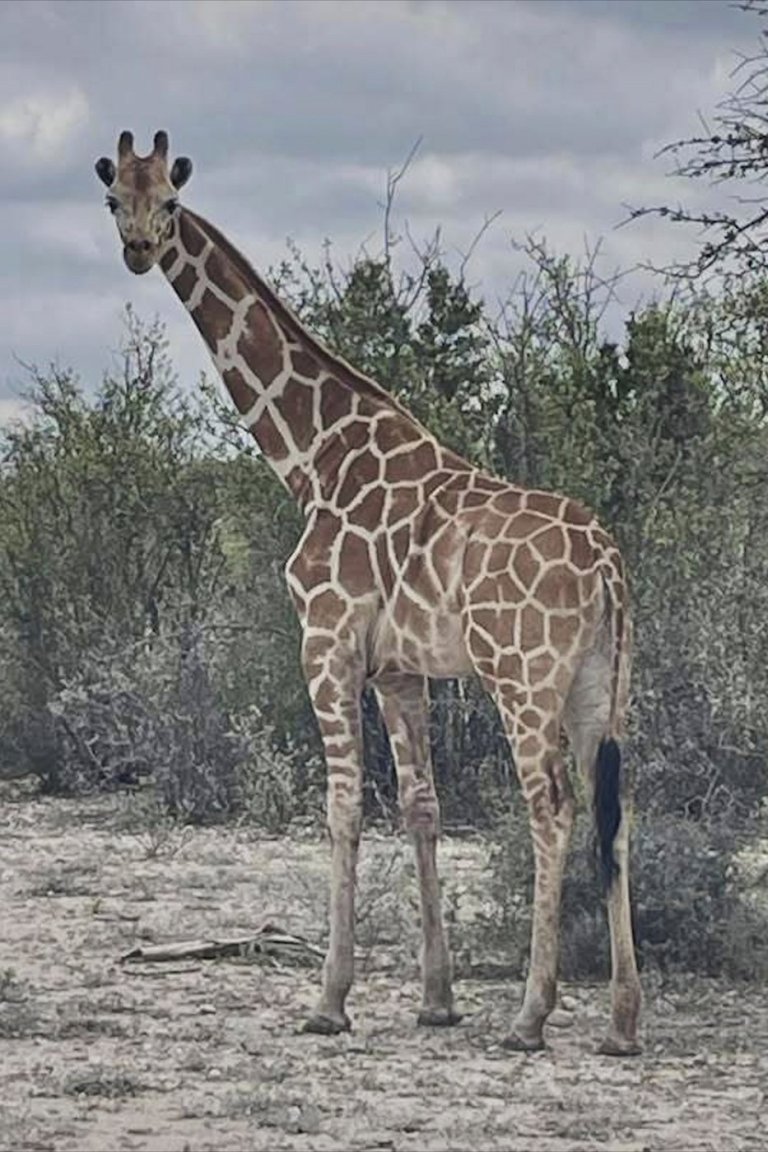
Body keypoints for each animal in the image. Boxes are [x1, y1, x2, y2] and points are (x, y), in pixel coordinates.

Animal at [95, 130, 642, 1056]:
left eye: (169, 199)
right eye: (113, 199)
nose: (137, 250)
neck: (312, 456)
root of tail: (606, 562)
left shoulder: (326, 640)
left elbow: (343, 806)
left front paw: (329, 999)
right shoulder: (399, 668)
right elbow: (421, 806)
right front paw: (436, 998)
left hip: (523, 677)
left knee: (553, 807)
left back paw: (531, 1015)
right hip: (602, 683)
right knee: (616, 809)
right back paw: (623, 1021)